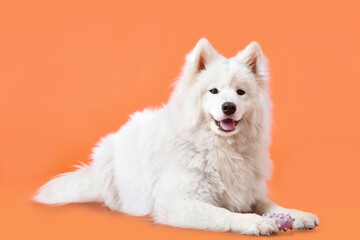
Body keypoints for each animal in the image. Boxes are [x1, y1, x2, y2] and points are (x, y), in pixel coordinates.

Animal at [35, 38, 320, 235]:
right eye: (213, 91)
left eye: (241, 92)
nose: (229, 107)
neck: (219, 148)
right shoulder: (177, 203)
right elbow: (221, 213)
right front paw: (252, 221)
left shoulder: (251, 193)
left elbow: (274, 205)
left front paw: (298, 215)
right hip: (107, 159)